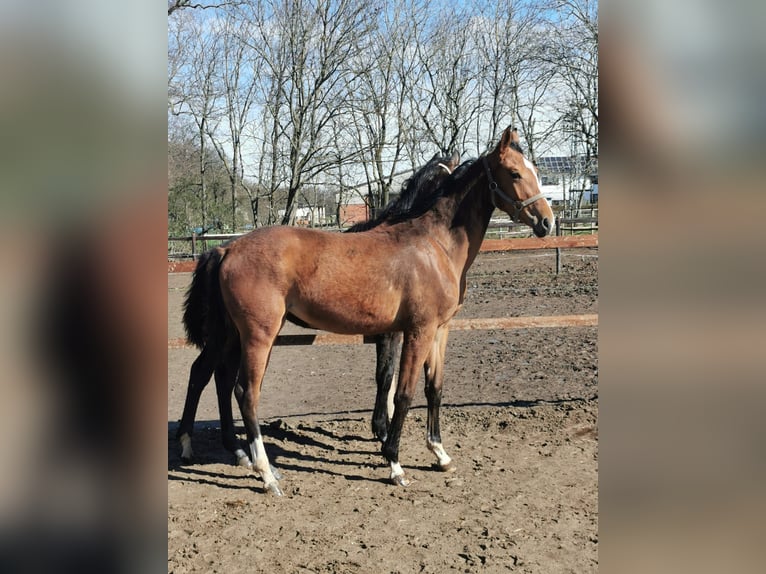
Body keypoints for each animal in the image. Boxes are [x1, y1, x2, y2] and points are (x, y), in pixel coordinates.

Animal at [176, 154, 460, 468]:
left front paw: (381, 432)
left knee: (213, 376)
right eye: (442, 179)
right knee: (205, 375)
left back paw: (230, 448)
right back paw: (194, 445)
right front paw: (382, 433)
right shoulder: (392, 333)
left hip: (229, 336)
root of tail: (221, 250)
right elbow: (385, 377)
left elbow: (385, 377)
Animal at [219, 128, 556, 498]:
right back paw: (266, 474)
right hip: (258, 337)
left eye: (536, 170)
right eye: (514, 173)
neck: (435, 245)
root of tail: (227, 248)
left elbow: (434, 388)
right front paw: (394, 463)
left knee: (229, 387)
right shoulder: (417, 331)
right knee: (247, 394)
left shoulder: (439, 330)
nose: (547, 222)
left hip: (245, 337)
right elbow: (403, 393)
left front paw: (439, 453)